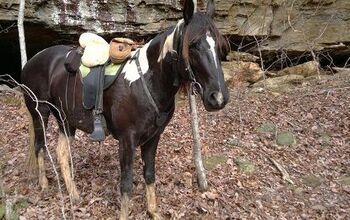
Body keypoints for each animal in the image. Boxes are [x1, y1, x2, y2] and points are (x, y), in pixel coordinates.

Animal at [21, 0, 230, 218]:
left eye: (219, 46)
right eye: (194, 45)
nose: (219, 97)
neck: (147, 80)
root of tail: (32, 60)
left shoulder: (153, 137)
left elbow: (149, 175)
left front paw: (153, 211)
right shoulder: (127, 139)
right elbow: (126, 183)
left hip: (66, 120)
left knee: (61, 153)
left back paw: (74, 195)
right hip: (40, 113)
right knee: (40, 146)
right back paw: (44, 185)